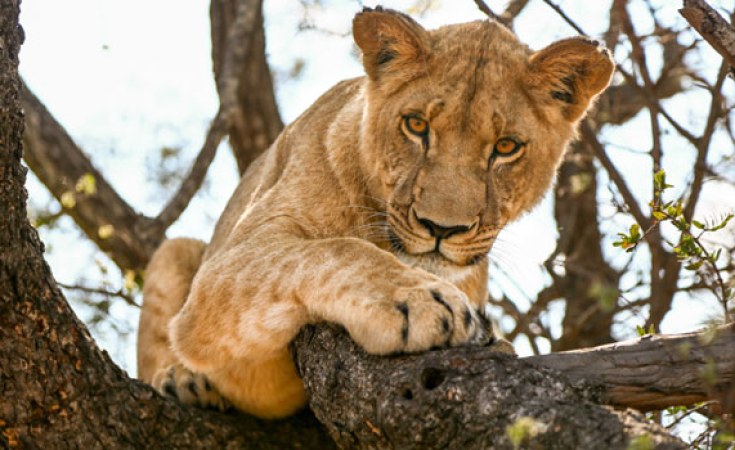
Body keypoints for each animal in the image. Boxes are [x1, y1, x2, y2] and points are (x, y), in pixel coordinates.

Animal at [137, 6, 614, 419]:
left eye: (506, 147)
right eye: (416, 125)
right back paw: (184, 381)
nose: (441, 228)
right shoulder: (227, 267)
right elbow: (335, 249)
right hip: (178, 251)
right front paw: (420, 301)